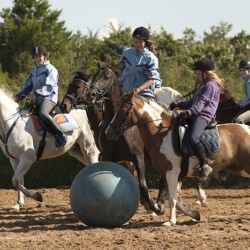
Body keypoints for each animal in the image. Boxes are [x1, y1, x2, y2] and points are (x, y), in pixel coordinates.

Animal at [105, 90, 250, 227]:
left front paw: (171, 221)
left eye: (123, 111)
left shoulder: (172, 173)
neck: (161, 133)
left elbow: (172, 198)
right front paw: (194, 214)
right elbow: (174, 197)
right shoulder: (169, 173)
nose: (108, 132)